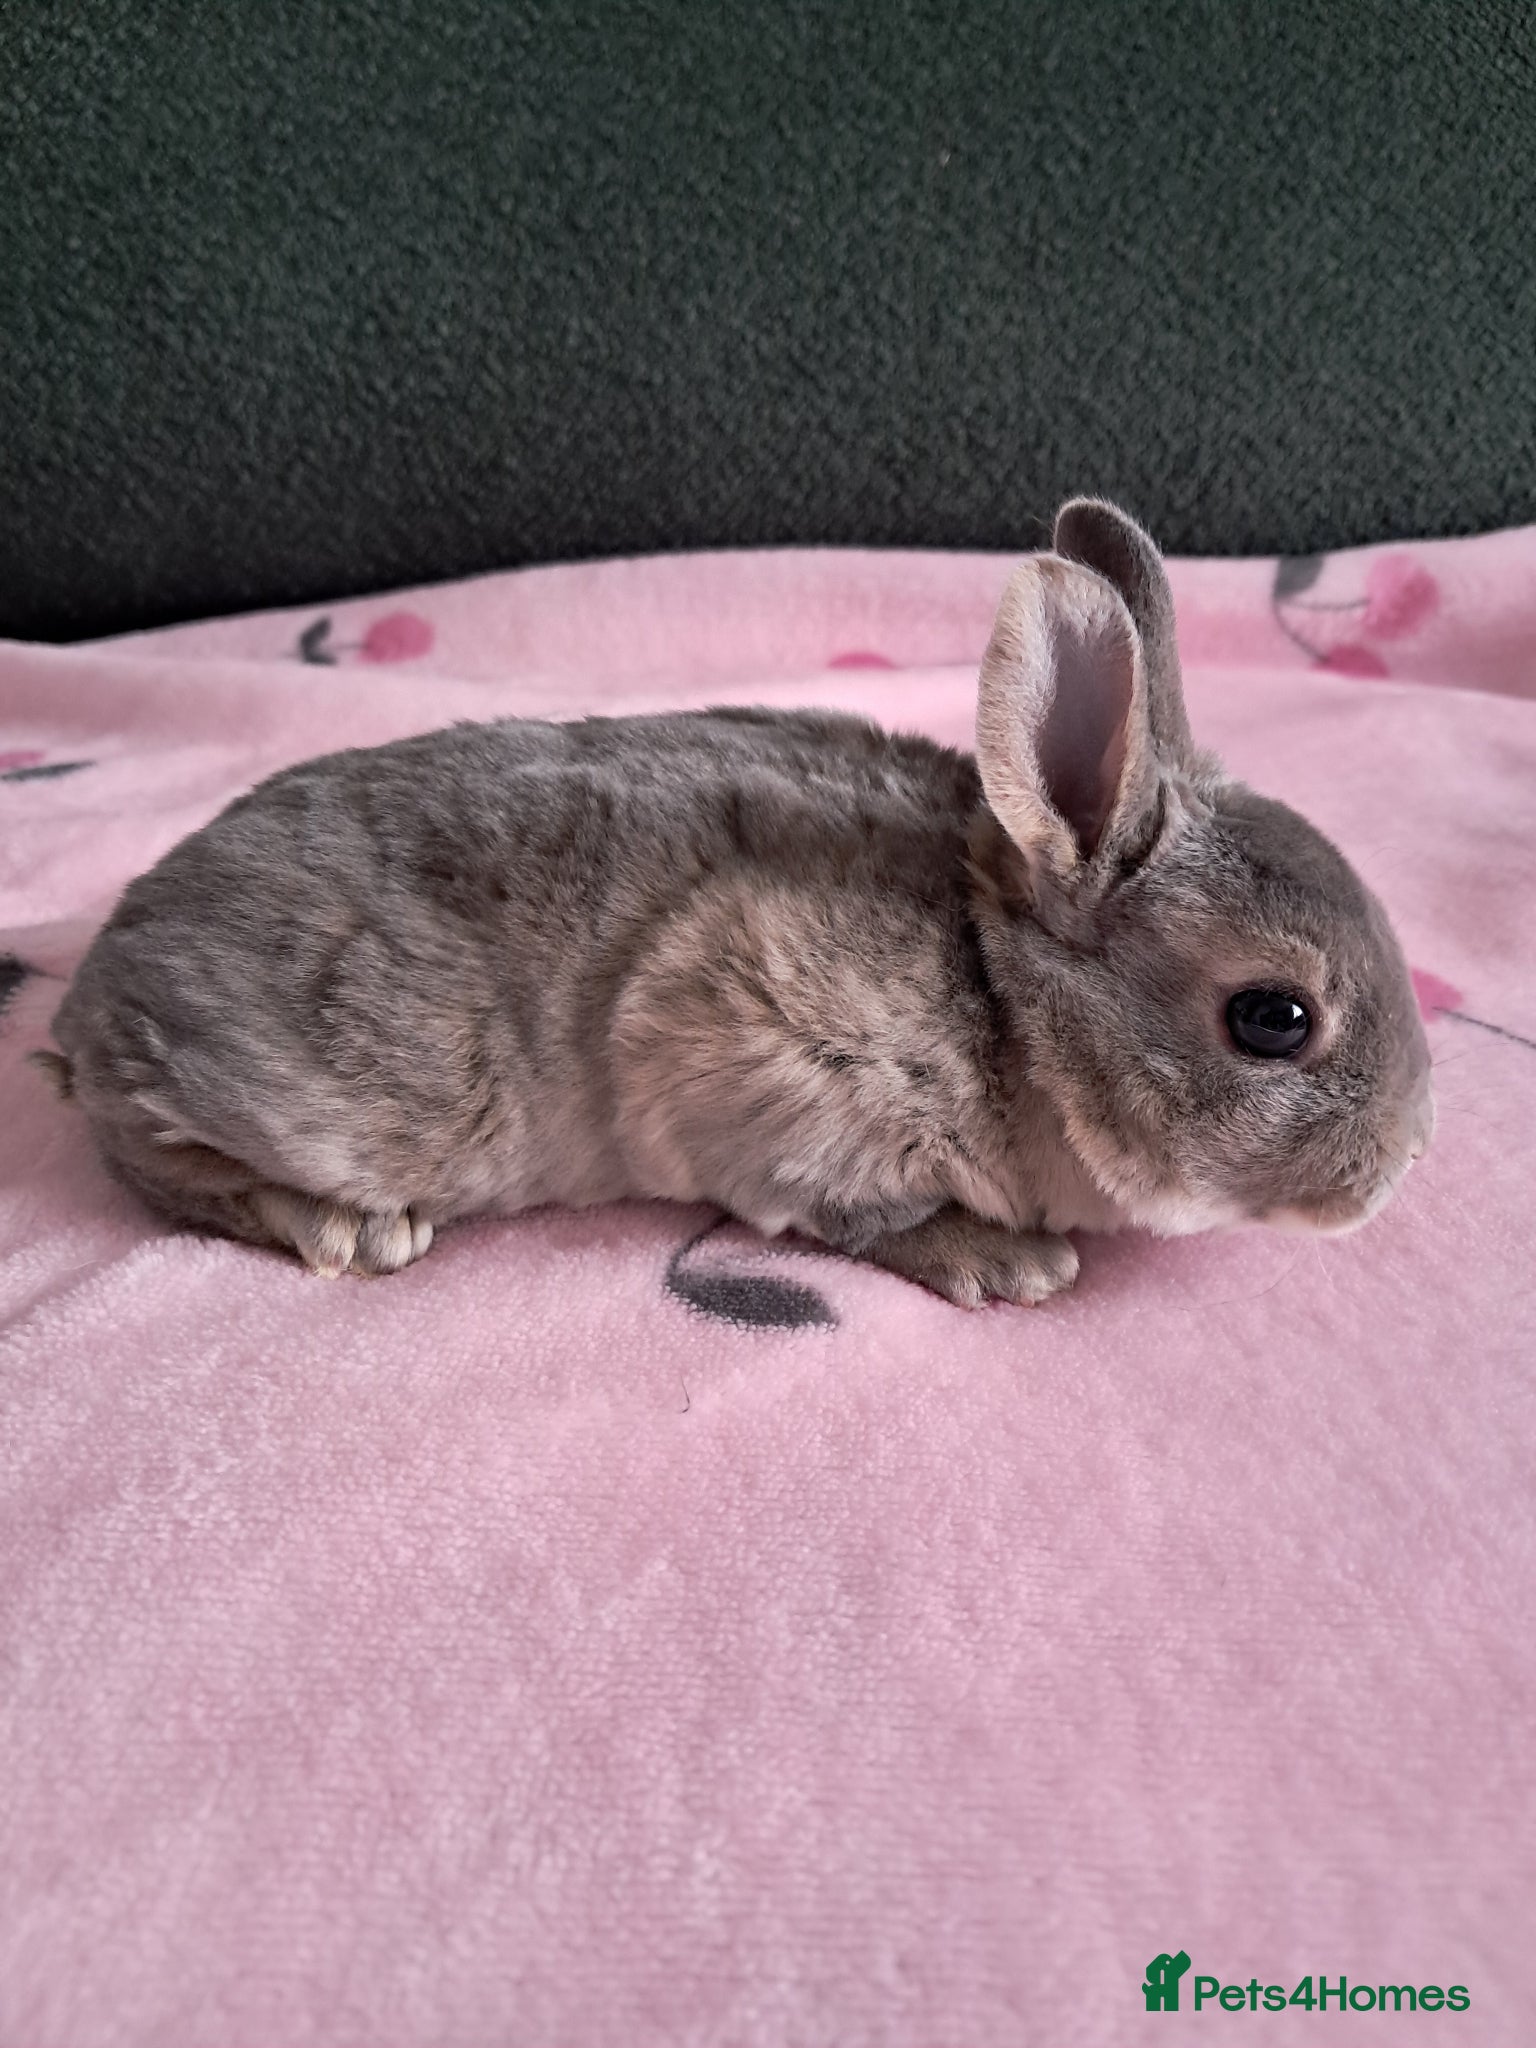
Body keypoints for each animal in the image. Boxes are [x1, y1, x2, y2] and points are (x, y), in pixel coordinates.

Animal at [39, 500, 1433, 1307]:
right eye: (1271, 1017)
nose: (1406, 1161)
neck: (1002, 989)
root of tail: (96, 987)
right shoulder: (771, 1047)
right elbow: (862, 1213)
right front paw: (1009, 1262)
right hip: (335, 1096)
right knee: (145, 1149)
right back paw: (345, 1228)